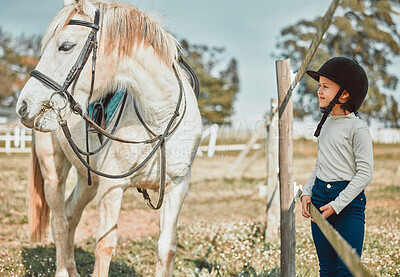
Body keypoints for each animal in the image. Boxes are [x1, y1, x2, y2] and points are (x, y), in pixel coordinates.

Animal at [16, 0, 203, 276]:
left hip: (88, 181)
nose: (24, 105)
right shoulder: (112, 189)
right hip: (53, 170)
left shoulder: (178, 187)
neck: (159, 120)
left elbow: (166, 249)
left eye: (65, 46)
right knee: (59, 223)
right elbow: (105, 246)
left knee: (70, 215)